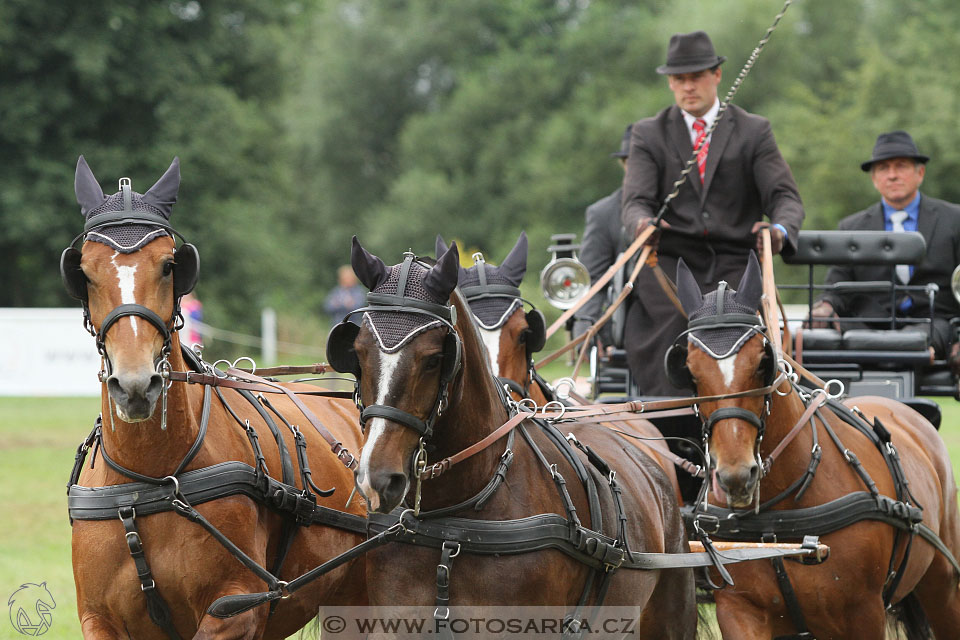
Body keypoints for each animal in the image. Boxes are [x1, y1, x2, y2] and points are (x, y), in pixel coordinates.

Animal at [62, 156, 366, 640]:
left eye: (169, 265)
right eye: (84, 272)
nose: (135, 385)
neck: (151, 480)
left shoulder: (235, 609)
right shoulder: (100, 619)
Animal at [668, 252, 960, 636]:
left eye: (763, 362)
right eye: (689, 369)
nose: (736, 477)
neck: (777, 514)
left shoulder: (864, 613)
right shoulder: (740, 611)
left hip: (942, 584)